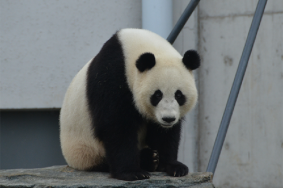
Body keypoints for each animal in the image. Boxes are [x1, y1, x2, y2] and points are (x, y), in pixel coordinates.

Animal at [60, 28, 200, 181]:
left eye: (179, 95)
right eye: (157, 95)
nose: (168, 119)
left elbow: (165, 134)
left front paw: (174, 167)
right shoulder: (112, 76)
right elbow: (117, 125)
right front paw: (132, 172)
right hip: (84, 150)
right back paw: (148, 159)